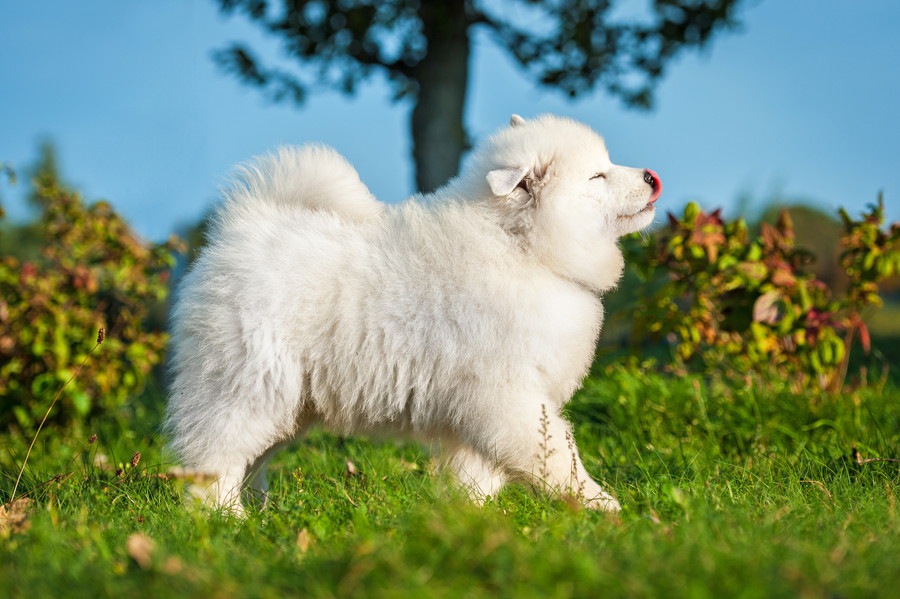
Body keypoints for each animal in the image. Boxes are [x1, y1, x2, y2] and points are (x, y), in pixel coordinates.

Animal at [167, 115, 660, 512]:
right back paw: (223, 518)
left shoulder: (481, 411)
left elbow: (479, 473)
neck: (520, 247)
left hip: (292, 404)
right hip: (247, 385)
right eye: (597, 175)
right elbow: (556, 453)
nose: (653, 176)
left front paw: (469, 516)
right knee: (215, 454)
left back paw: (258, 514)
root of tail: (244, 224)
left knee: (253, 459)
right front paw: (601, 505)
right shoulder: (508, 396)